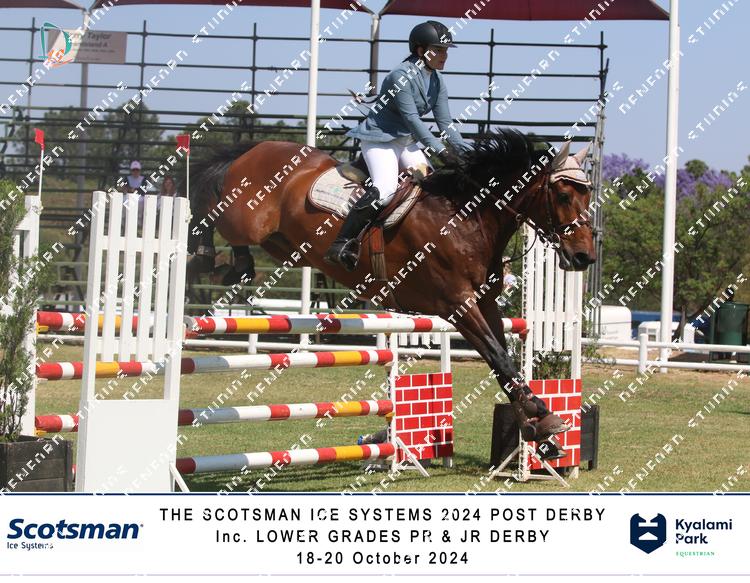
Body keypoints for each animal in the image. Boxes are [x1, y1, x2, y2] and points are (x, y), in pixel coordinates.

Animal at [186, 129, 596, 457]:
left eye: (587, 195)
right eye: (562, 195)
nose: (584, 257)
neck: (467, 220)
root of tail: (257, 148)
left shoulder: (484, 302)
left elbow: (503, 362)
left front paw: (540, 428)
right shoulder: (458, 306)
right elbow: (499, 356)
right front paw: (542, 418)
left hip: (280, 243)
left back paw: (236, 266)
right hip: (244, 220)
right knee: (204, 204)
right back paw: (205, 254)